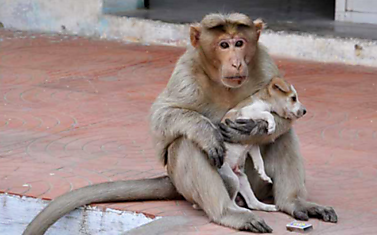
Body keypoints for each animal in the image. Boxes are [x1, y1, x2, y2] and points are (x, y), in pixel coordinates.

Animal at [217, 76, 306, 211]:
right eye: (293, 98)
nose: (305, 111)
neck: (264, 101)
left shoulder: (252, 143)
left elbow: (259, 159)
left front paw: (262, 173)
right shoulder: (247, 111)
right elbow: (268, 114)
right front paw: (272, 125)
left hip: (242, 179)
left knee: (252, 203)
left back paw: (269, 207)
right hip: (232, 178)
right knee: (231, 203)